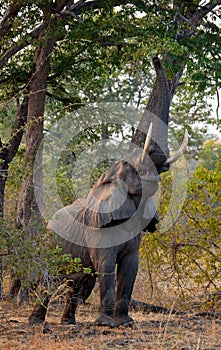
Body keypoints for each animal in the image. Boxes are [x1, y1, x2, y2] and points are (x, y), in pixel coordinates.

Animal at [28, 57, 187, 328]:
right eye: (130, 166)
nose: (155, 58)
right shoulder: (98, 227)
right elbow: (106, 264)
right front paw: (106, 324)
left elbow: (131, 266)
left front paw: (126, 323)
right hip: (52, 242)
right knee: (50, 279)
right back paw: (36, 323)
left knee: (77, 281)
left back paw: (68, 323)